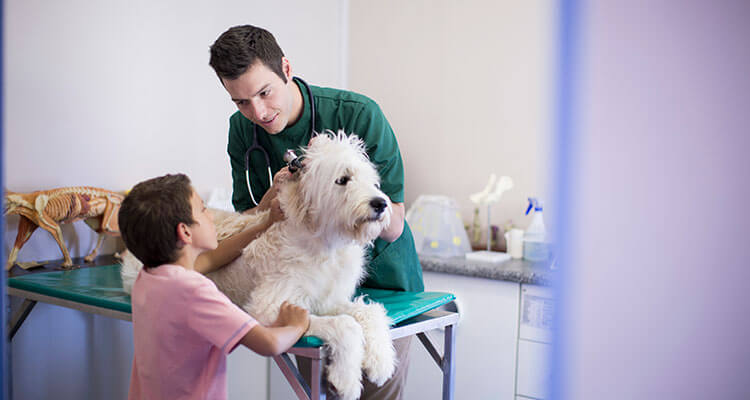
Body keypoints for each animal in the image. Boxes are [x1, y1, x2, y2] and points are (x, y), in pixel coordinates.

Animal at [120, 132, 396, 400]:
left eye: (373, 182)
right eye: (343, 179)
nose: (381, 204)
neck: (324, 243)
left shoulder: (327, 300)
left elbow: (370, 312)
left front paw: (380, 361)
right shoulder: (268, 310)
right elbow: (345, 324)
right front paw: (346, 379)